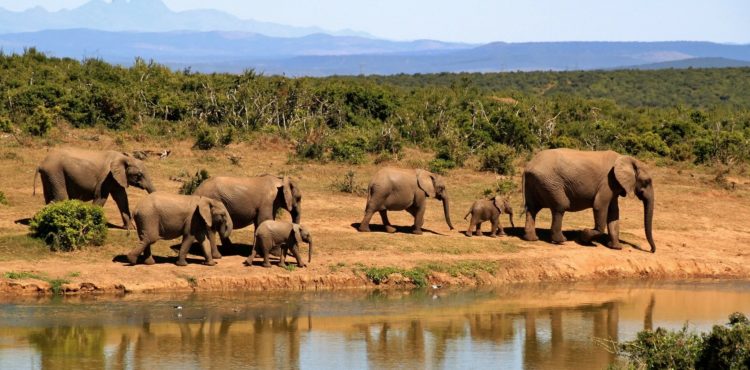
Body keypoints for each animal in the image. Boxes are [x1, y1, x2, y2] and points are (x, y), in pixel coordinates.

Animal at [524, 149, 656, 253]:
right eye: (647, 181)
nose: (651, 250)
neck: (626, 158)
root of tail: (529, 166)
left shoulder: (614, 185)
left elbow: (614, 213)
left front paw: (616, 247)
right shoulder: (607, 182)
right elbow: (599, 206)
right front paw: (584, 237)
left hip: (537, 182)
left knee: (532, 208)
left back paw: (532, 239)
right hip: (550, 182)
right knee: (560, 206)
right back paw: (561, 241)